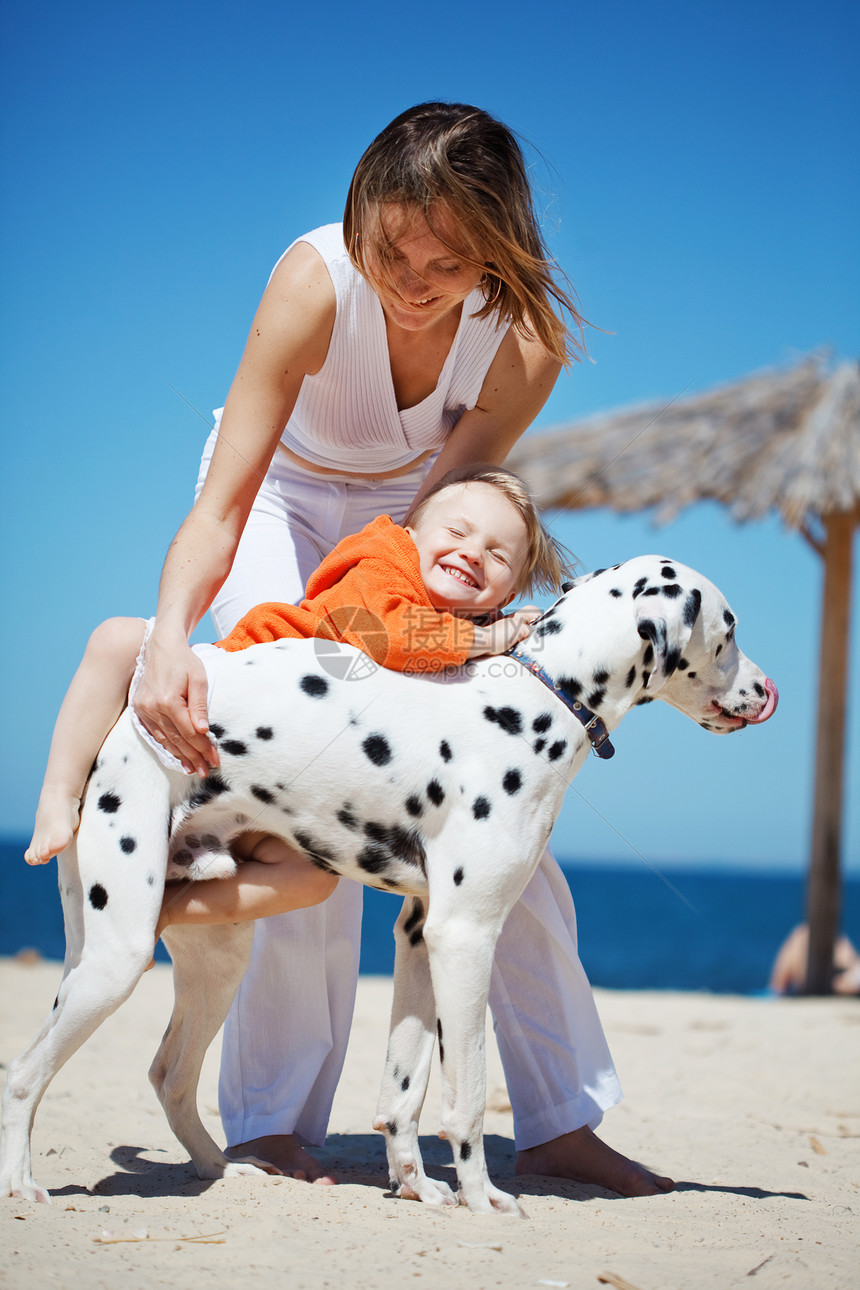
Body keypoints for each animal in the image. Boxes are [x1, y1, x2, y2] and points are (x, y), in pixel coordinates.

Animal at [1, 554, 778, 1207]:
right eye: (730, 628)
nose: (769, 690)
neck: (542, 701)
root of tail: (119, 732)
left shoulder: (418, 936)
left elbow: (404, 1090)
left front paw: (417, 1186)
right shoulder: (465, 938)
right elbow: (468, 1095)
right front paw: (482, 1200)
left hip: (216, 961)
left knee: (170, 1074)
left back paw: (223, 1168)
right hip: (118, 958)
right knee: (24, 1075)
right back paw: (22, 1187)